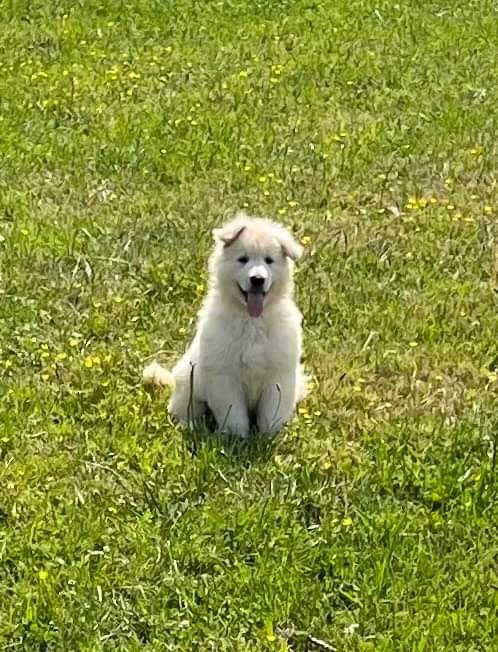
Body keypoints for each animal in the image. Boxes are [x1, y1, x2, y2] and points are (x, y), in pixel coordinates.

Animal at [143, 213, 308, 438]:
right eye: (243, 259)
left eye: (269, 260)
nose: (257, 279)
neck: (252, 320)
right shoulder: (225, 376)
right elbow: (234, 413)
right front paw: (236, 437)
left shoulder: (278, 374)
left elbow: (272, 411)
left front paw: (269, 436)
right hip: (189, 384)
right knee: (184, 408)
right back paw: (191, 425)